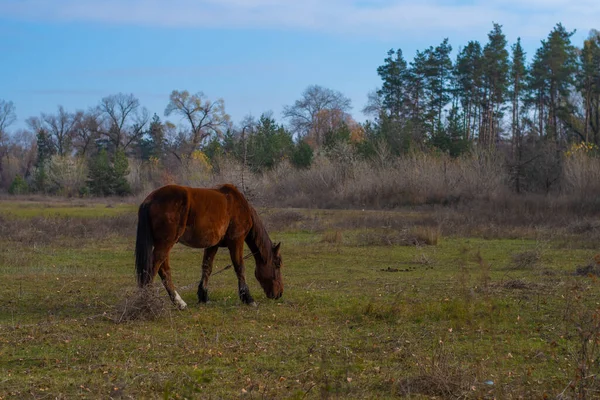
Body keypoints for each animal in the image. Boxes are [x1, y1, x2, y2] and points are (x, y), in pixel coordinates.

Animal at [135, 184, 284, 310]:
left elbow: (207, 268)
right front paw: (248, 298)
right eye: (277, 265)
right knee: (153, 269)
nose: (279, 293)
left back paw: (179, 302)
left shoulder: (213, 245)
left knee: (164, 270)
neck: (239, 205)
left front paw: (203, 296)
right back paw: (146, 301)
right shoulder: (236, 241)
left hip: (164, 244)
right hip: (166, 243)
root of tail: (150, 199)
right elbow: (239, 267)